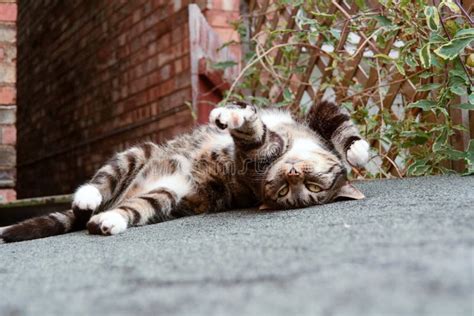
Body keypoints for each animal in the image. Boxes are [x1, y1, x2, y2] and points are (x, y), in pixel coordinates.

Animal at [0, 101, 370, 242]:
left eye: (309, 189)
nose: (291, 176)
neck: (293, 144)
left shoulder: (255, 160)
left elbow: (256, 135)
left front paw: (238, 119)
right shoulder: (314, 118)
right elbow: (337, 120)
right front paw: (359, 150)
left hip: (165, 196)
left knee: (130, 209)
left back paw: (106, 221)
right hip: (139, 154)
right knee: (103, 179)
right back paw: (89, 198)